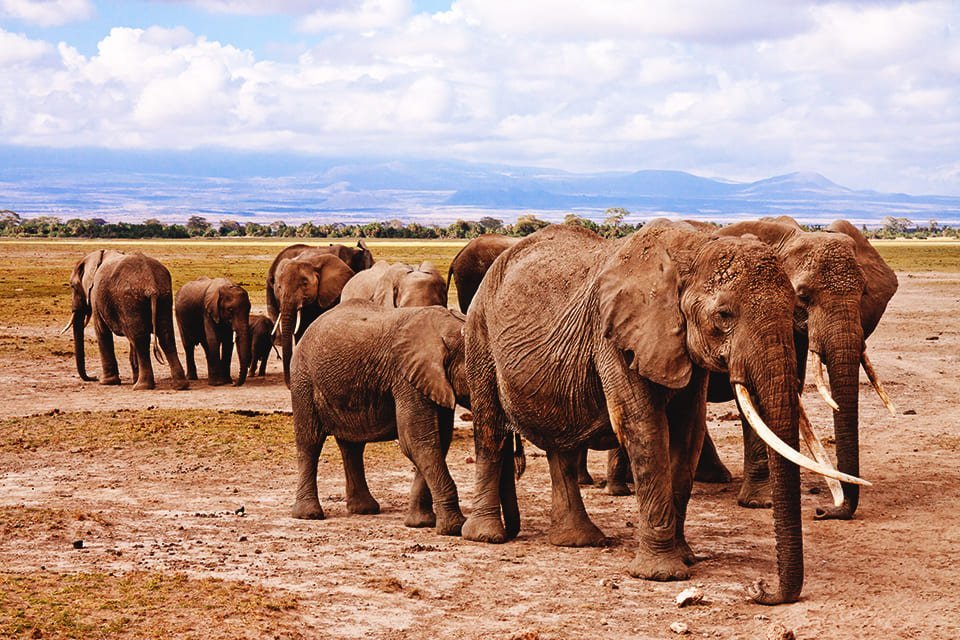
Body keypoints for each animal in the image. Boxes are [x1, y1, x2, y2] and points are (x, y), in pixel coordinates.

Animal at [64, 250, 189, 390]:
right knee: (165, 336)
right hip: (164, 296)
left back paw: (141, 386)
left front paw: (107, 382)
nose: (93, 378)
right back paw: (180, 385)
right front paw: (132, 379)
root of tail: (151, 283)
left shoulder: (95, 296)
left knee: (141, 339)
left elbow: (102, 331)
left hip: (130, 299)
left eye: (73, 286)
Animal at [292, 300, 472, 536]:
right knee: (309, 442)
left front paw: (420, 523)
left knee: (352, 446)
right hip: (303, 378)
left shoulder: (433, 381)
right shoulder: (406, 378)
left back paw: (364, 510)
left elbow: (437, 441)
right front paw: (454, 528)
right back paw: (308, 515)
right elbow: (417, 441)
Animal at [462, 221, 868, 604]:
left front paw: (686, 556)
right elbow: (644, 429)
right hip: (479, 336)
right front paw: (662, 574)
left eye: (794, 307)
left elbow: (688, 433)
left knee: (560, 445)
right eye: (723, 315)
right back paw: (487, 535)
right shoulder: (615, 337)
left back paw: (577, 540)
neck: (691, 250)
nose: (760, 589)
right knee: (491, 429)